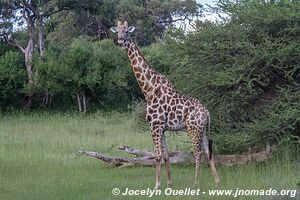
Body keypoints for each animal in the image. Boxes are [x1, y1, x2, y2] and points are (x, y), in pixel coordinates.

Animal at [110, 20, 220, 191]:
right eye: (117, 31)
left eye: (127, 31)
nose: (121, 40)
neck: (149, 89)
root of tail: (207, 112)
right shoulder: (162, 127)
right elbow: (167, 155)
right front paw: (169, 183)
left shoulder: (155, 125)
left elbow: (157, 155)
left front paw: (156, 185)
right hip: (202, 130)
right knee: (208, 151)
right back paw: (217, 182)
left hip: (193, 129)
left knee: (198, 153)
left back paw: (195, 183)